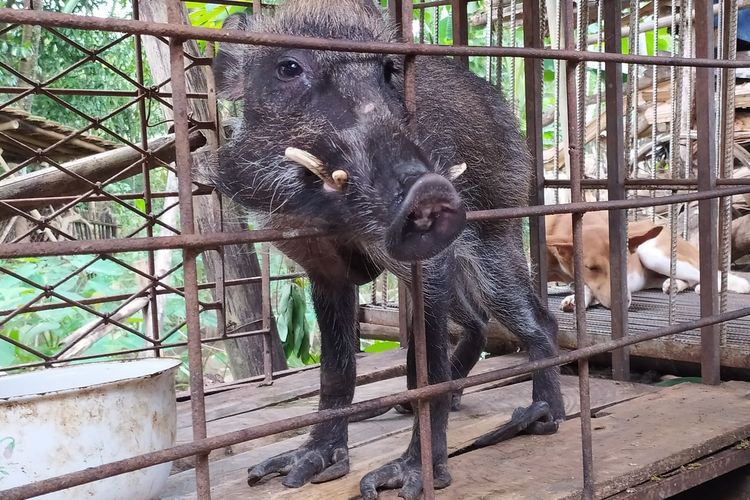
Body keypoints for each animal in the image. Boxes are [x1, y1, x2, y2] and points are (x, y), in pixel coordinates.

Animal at [548, 212, 750, 312]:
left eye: (625, 264)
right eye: (591, 267)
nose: (623, 303)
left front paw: (578, 299)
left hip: (652, 253)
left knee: (722, 276)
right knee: (689, 280)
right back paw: (674, 284)